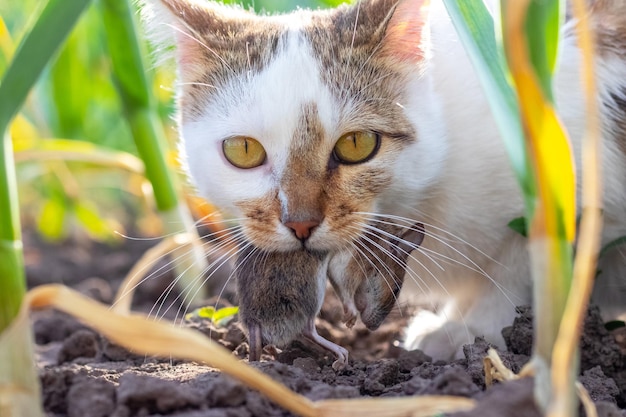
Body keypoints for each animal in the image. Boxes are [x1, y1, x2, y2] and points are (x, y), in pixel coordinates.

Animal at [141, 0, 624, 360]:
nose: (300, 224)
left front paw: (473, 328)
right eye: (243, 150)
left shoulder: (568, 187)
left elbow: (520, 267)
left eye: (358, 144)